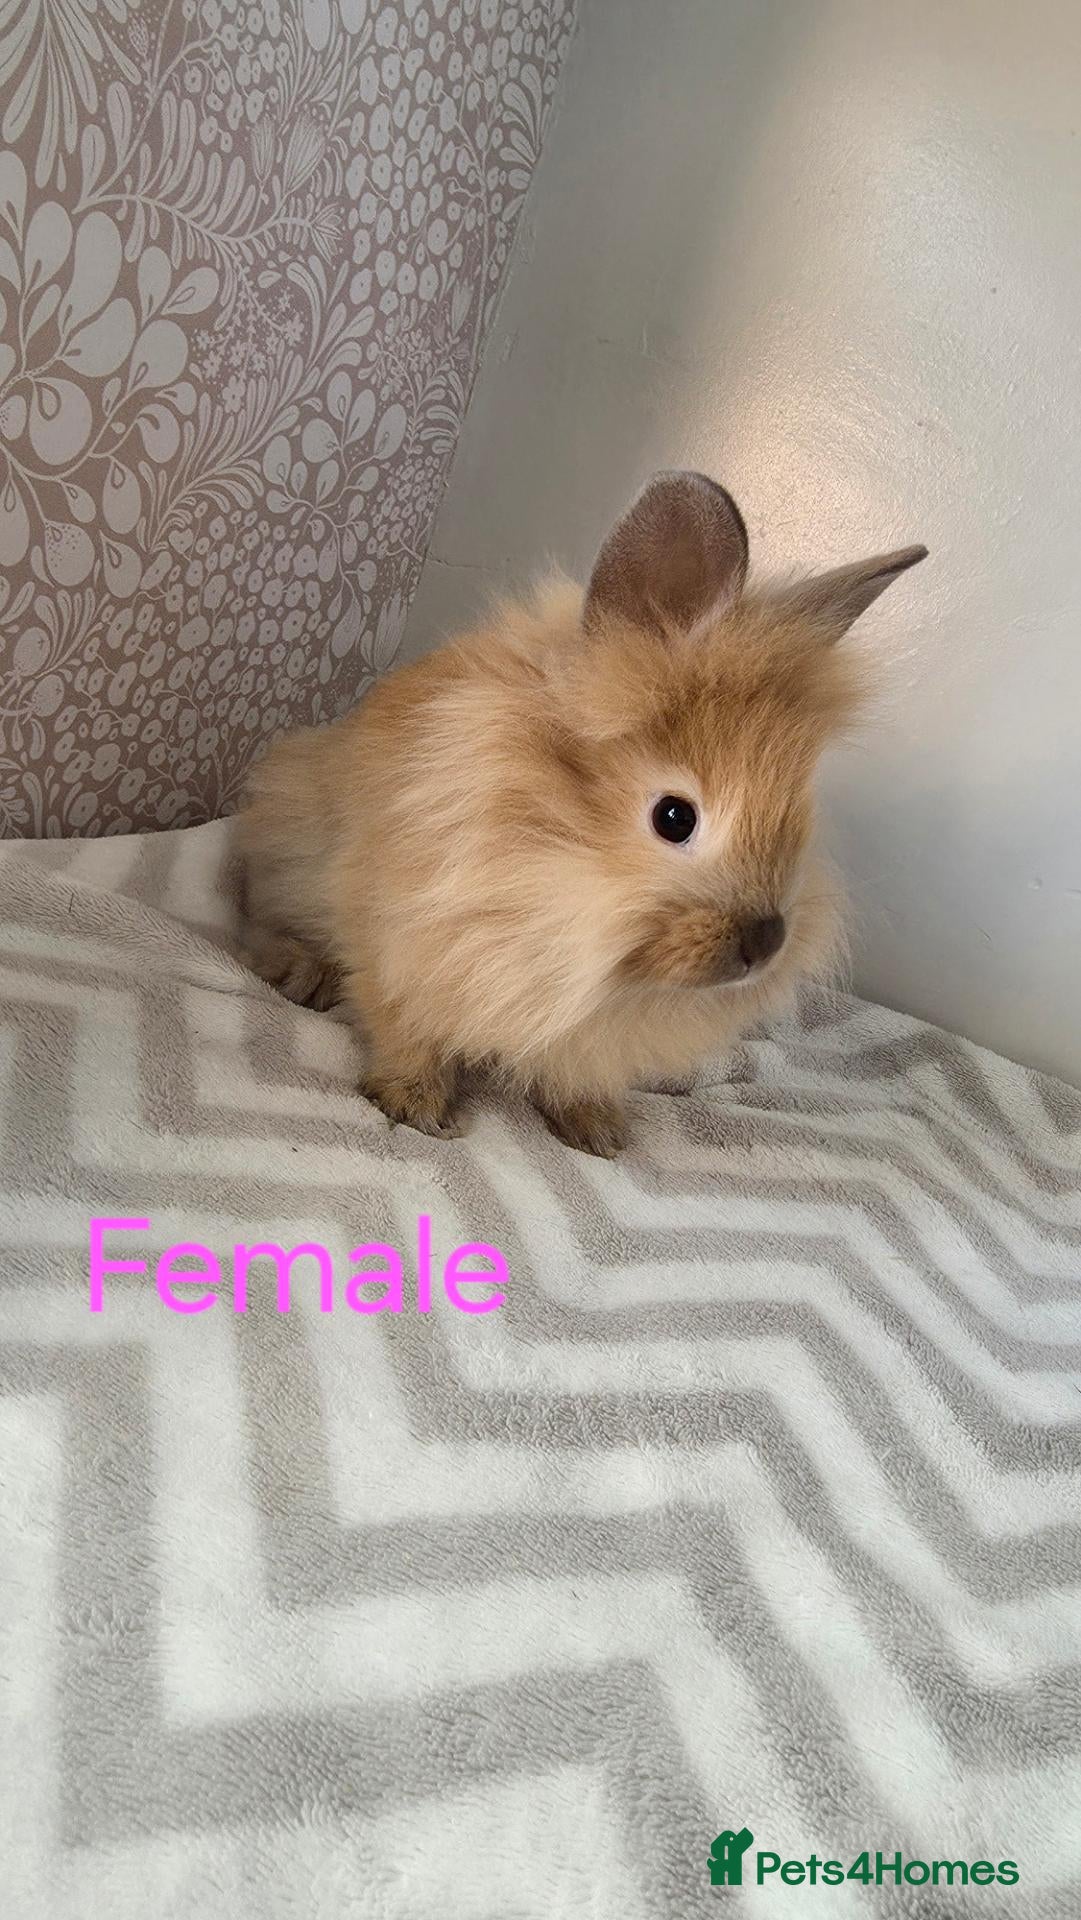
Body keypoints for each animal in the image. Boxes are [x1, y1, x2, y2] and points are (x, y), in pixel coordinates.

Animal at [237, 470, 926, 1156]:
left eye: (800, 811)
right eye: (674, 818)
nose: (765, 944)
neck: (557, 863)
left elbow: (577, 1071)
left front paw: (597, 1133)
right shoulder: (396, 942)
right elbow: (405, 1029)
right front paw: (415, 1108)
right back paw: (302, 976)